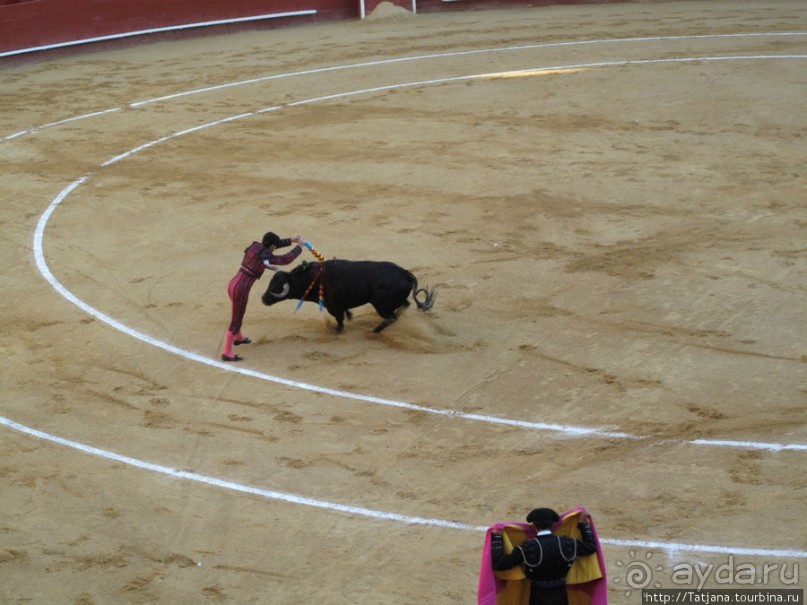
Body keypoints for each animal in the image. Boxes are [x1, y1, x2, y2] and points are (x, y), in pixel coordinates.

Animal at [260, 258, 436, 332]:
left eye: (275, 287)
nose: (263, 299)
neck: (312, 278)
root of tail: (406, 274)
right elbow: (345, 313)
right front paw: (350, 316)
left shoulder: (333, 306)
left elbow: (339, 319)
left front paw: (337, 329)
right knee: (404, 306)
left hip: (380, 305)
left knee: (392, 317)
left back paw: (375, 330)